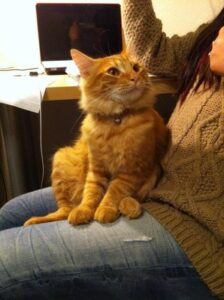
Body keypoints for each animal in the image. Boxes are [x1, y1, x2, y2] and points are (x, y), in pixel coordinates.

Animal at [24, 50, 168, 226]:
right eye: (113, 71)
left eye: (136, 68)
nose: (135, 77)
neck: (116, 120)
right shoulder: (96, 168)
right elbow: (91, 192)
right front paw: (84, 210)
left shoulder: (131, 169)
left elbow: (114, 190)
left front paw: (105, 208)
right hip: (62, 159)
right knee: (65, 210)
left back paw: (129, 206)